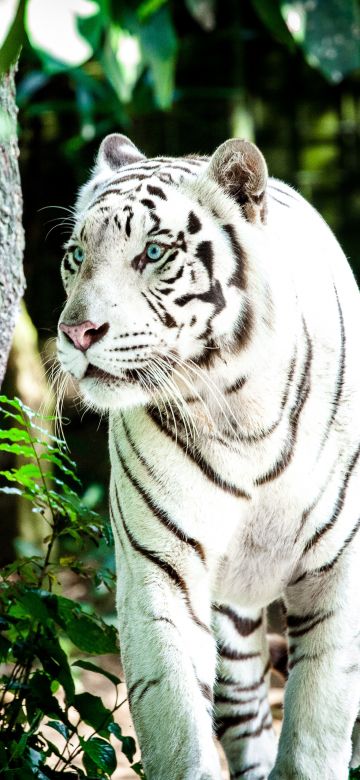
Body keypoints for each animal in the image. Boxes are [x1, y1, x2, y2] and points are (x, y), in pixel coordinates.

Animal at [56, 131, 360, 776]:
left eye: (152, 253)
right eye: (77, 254)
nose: (76, 333)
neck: (242, 411)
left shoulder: (339, 567)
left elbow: (317, 727)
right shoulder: (161, 566)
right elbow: (175, 722)